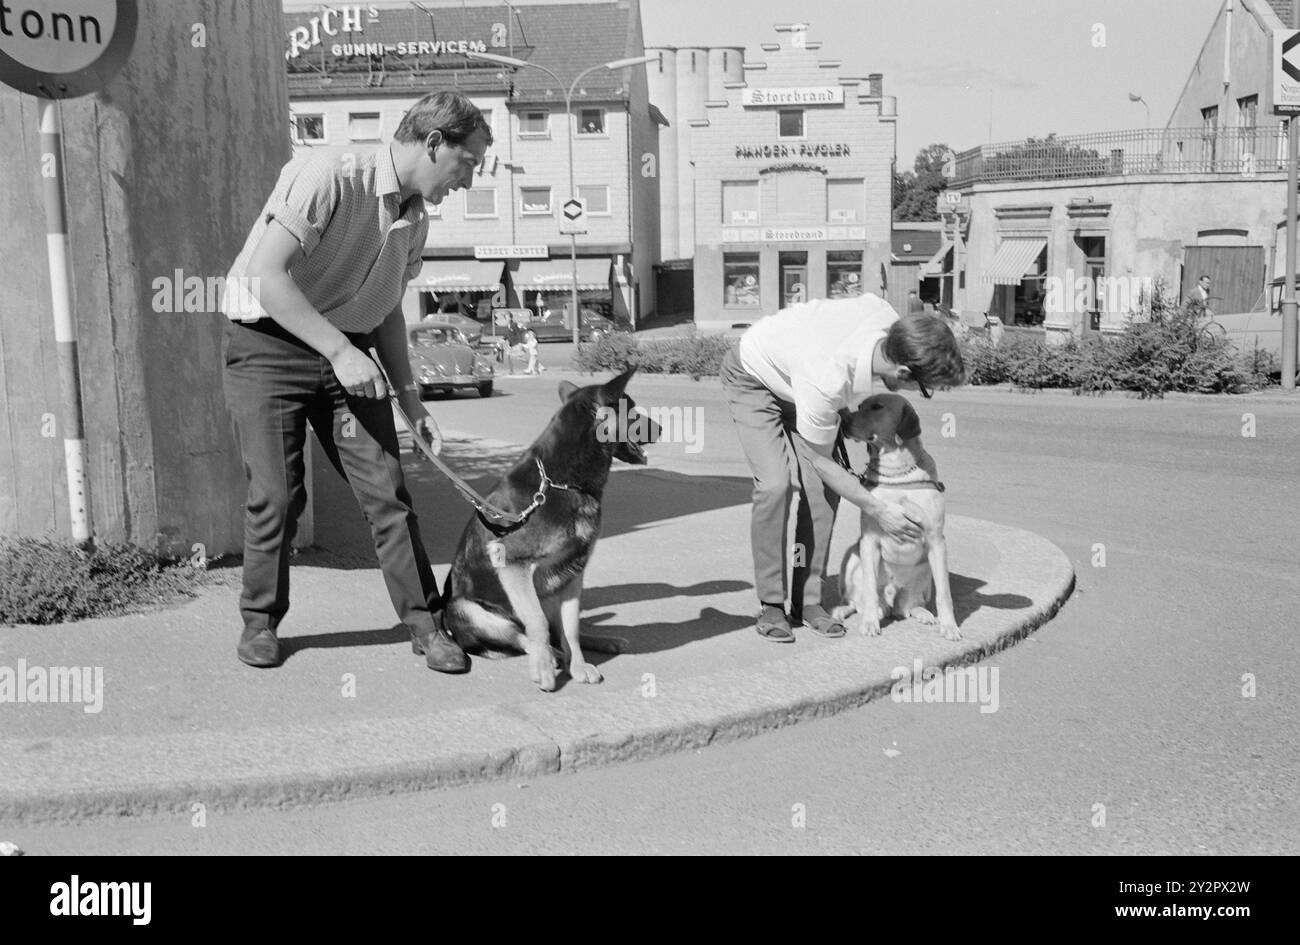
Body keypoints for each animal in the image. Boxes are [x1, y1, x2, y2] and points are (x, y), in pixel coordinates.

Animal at [444, 366, 660, 686]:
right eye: (631, 410)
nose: (661, 429)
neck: (561, 482)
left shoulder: (573, 573)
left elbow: (570, 628)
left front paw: (578, 665)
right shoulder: (513, 565)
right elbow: (537, 624)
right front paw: (544, 668)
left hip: (548, 589)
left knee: (559, 631)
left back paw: (598, 642)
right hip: (467, 609)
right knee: (523, 634)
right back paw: (549, 656)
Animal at [826, 392, 961, 642]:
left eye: (877, 407)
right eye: (860, 405)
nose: (843, 419)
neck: (896, 472)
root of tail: (891, 601)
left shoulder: (937, 540)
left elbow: (944, 593)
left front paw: (950, 626)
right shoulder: (869, 539)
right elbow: (869, 589)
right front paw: (870, 623)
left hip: (925, 572)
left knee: (910, 606)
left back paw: (923, 613)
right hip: (851, 557)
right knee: (856, 601)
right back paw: (844, 610)